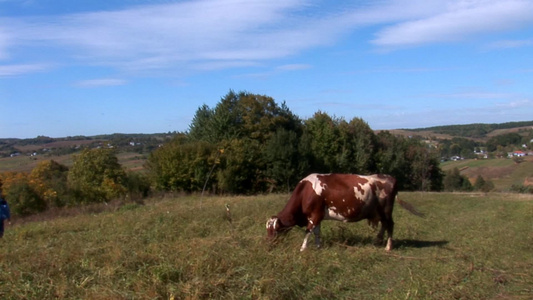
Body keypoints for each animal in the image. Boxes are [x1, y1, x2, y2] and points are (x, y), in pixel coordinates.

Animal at [264, 172, 422, 252]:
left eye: (274, 230)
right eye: (267, 230)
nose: (269, 245)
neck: (305, 191)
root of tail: (390, 177)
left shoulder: (315, 215)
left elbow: (308, 231)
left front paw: (303, 249)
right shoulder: (317, 215)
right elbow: (316, 232)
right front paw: (318, 246)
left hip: (386, 210)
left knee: (390, 225)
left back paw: (388, 247)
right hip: (380, 212)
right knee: (384, 225)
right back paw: (378, 241)